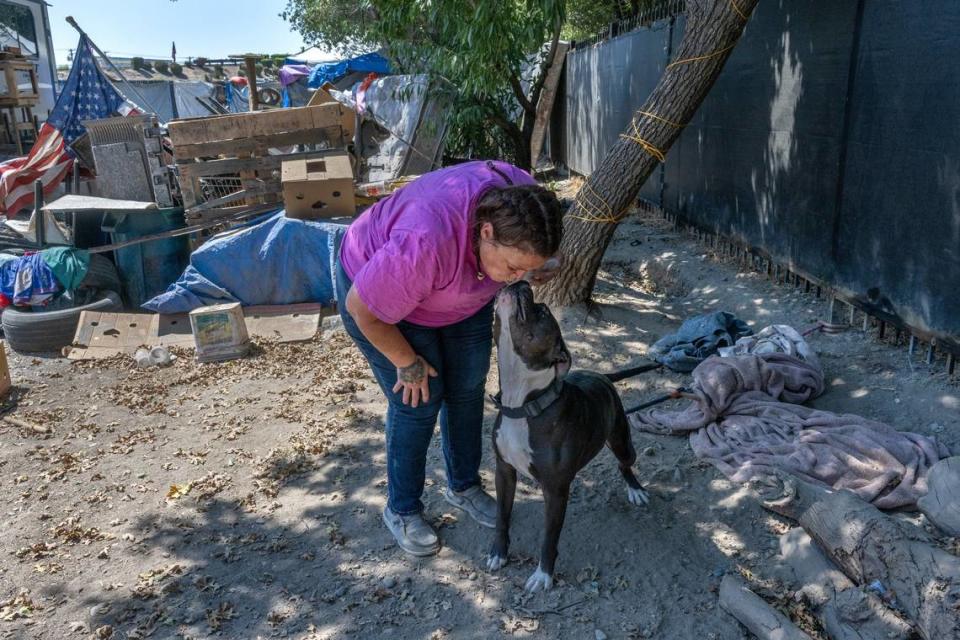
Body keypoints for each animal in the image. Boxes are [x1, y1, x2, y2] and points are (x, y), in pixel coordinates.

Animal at [488, 282, 652, 592]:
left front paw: (543, 575)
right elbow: (501, 517)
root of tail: (602, 375)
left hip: (622, 441)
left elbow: (549, 537)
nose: (522, 283)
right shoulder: (503, 471)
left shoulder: (555, 491)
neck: (524, 404)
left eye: (542, 311)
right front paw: (498, 552)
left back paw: (635, 489)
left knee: (624, 464)